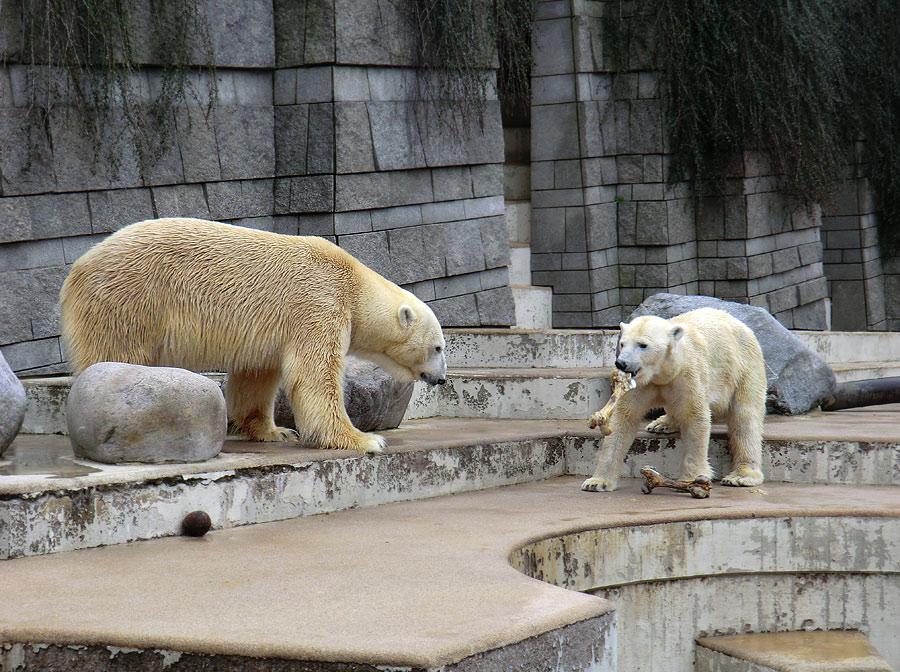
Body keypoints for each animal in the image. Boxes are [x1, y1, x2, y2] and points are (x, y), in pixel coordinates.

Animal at [59, 218, 446, 454]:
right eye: (439, 346)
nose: (441, 379)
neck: (353, 283)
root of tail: (77, 267)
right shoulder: (319, 301)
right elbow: (314, 374)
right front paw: (366, 439)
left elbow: (257, 375)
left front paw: (275, 431)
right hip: (129, 299)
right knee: (114, 355)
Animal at [584, 308, 768, 490]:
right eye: (622, 344)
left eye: (643, 345)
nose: (621, 363)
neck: (663, 372)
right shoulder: (641, 384)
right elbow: (623, 419)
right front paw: (597, 482)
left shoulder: (687, 376)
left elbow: (695, 417)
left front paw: (692, 478)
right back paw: (661, 424)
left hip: (744, 367)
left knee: (745, 417)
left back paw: (741, 476)